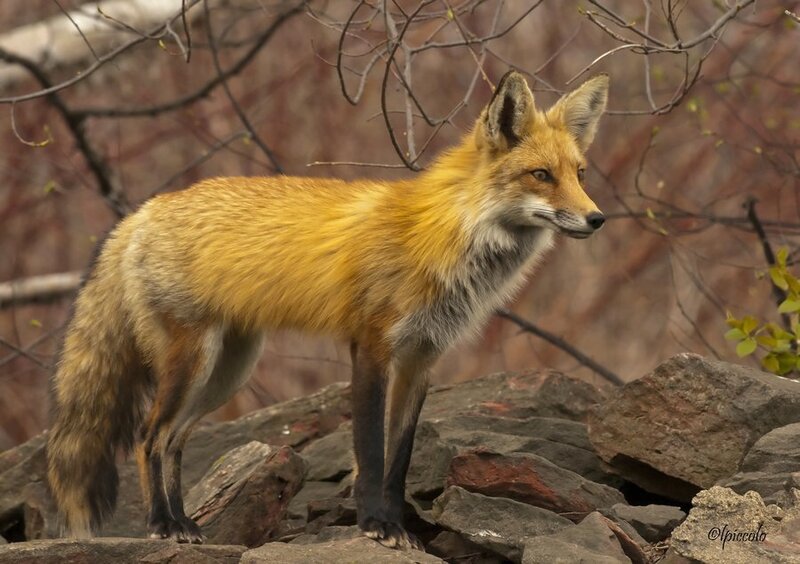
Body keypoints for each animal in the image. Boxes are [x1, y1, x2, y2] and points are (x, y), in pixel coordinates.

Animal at [46, 70, 609, 549]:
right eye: (541, 175)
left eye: (580, 174)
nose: (597, 218)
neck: (443, 236)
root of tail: (141, 211)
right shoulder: (372, 346)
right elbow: (370, 450)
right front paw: (376, 525)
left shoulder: (421, 358)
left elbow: (399, 458)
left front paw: (399, 526)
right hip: (192, 362)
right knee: (148, 437)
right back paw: (162, 524)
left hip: (226, 372)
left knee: (173, 441)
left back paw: (185, 522)